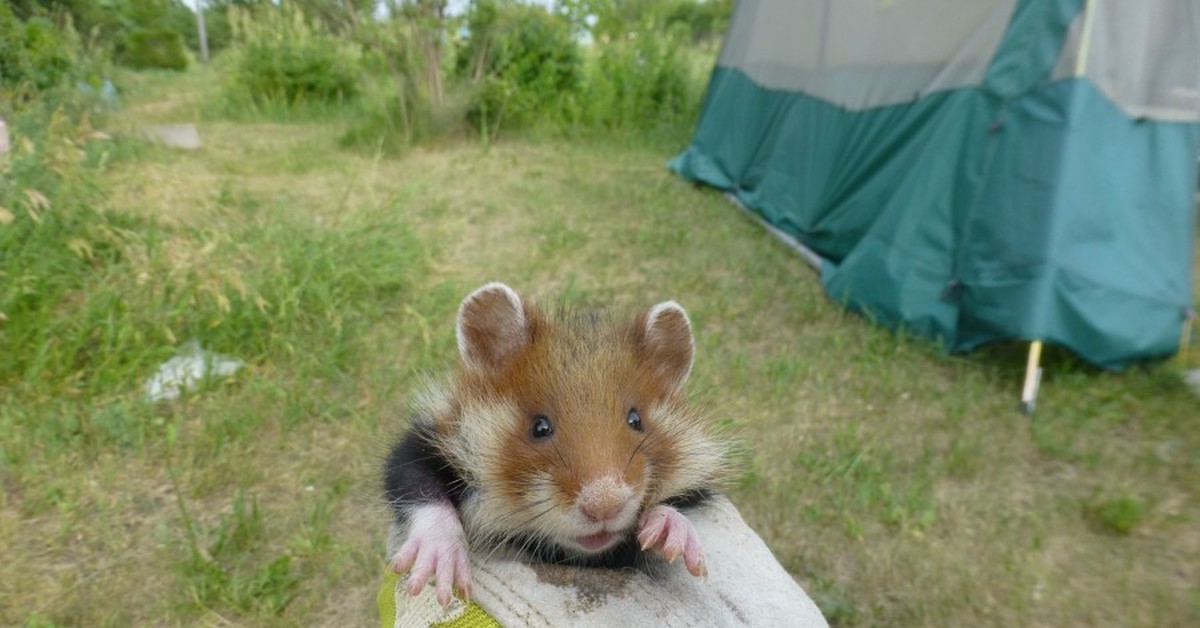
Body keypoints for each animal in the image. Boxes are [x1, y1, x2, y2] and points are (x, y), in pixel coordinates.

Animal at [379, 282, 724, 607]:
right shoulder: (425, 443)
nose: (605, 506)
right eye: (539, 427)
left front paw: (669, 533)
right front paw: (438, 573)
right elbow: (417, 484)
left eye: (636, 420)